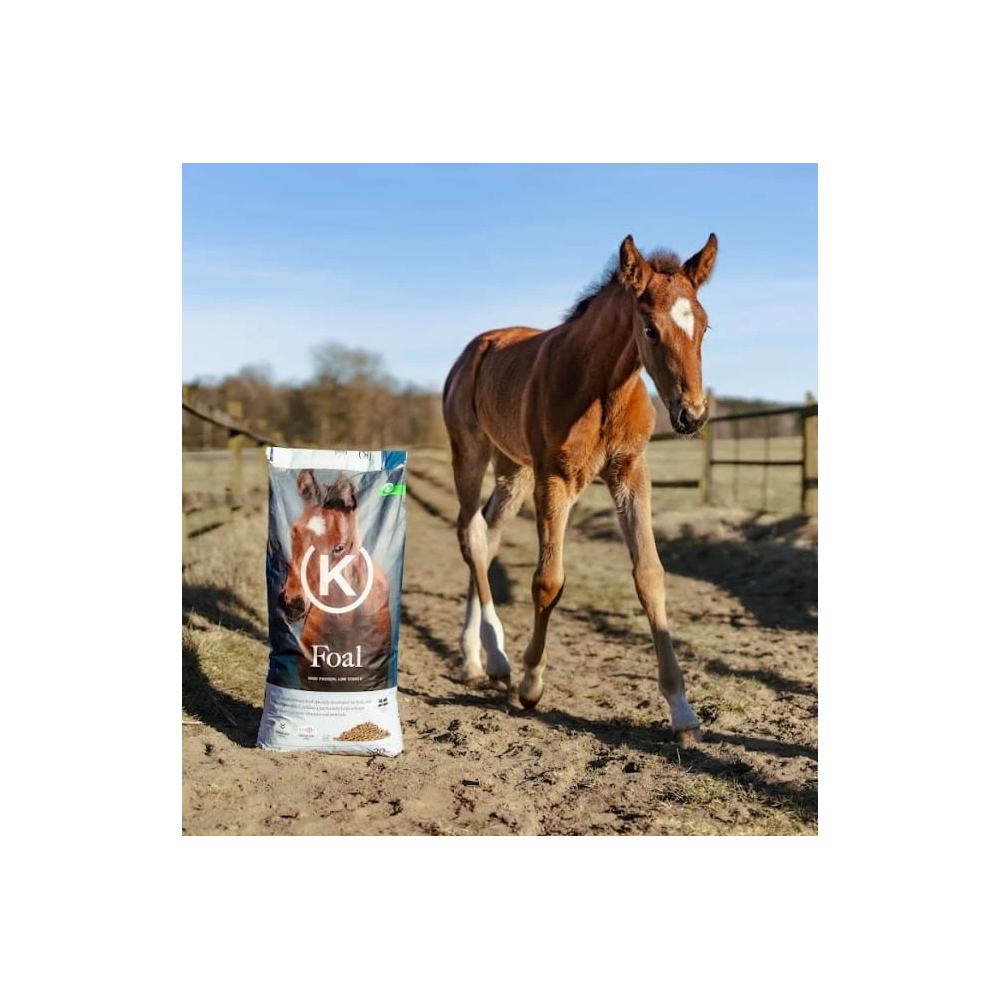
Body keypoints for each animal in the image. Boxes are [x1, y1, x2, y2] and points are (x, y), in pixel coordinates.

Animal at [442, 233, 717, 742]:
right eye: (650, 329)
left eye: (704, 327)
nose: (691, 415)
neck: (603, 388)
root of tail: (478, 345)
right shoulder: (555, 478)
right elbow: (548, 580)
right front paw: (531, 683)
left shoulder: (630, 474)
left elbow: (650, 575)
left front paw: (682, 710)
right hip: (470, 454)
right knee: (471, 535)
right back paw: (497, 657)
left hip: (513, 470)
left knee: (487, 538)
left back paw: (475, 657)